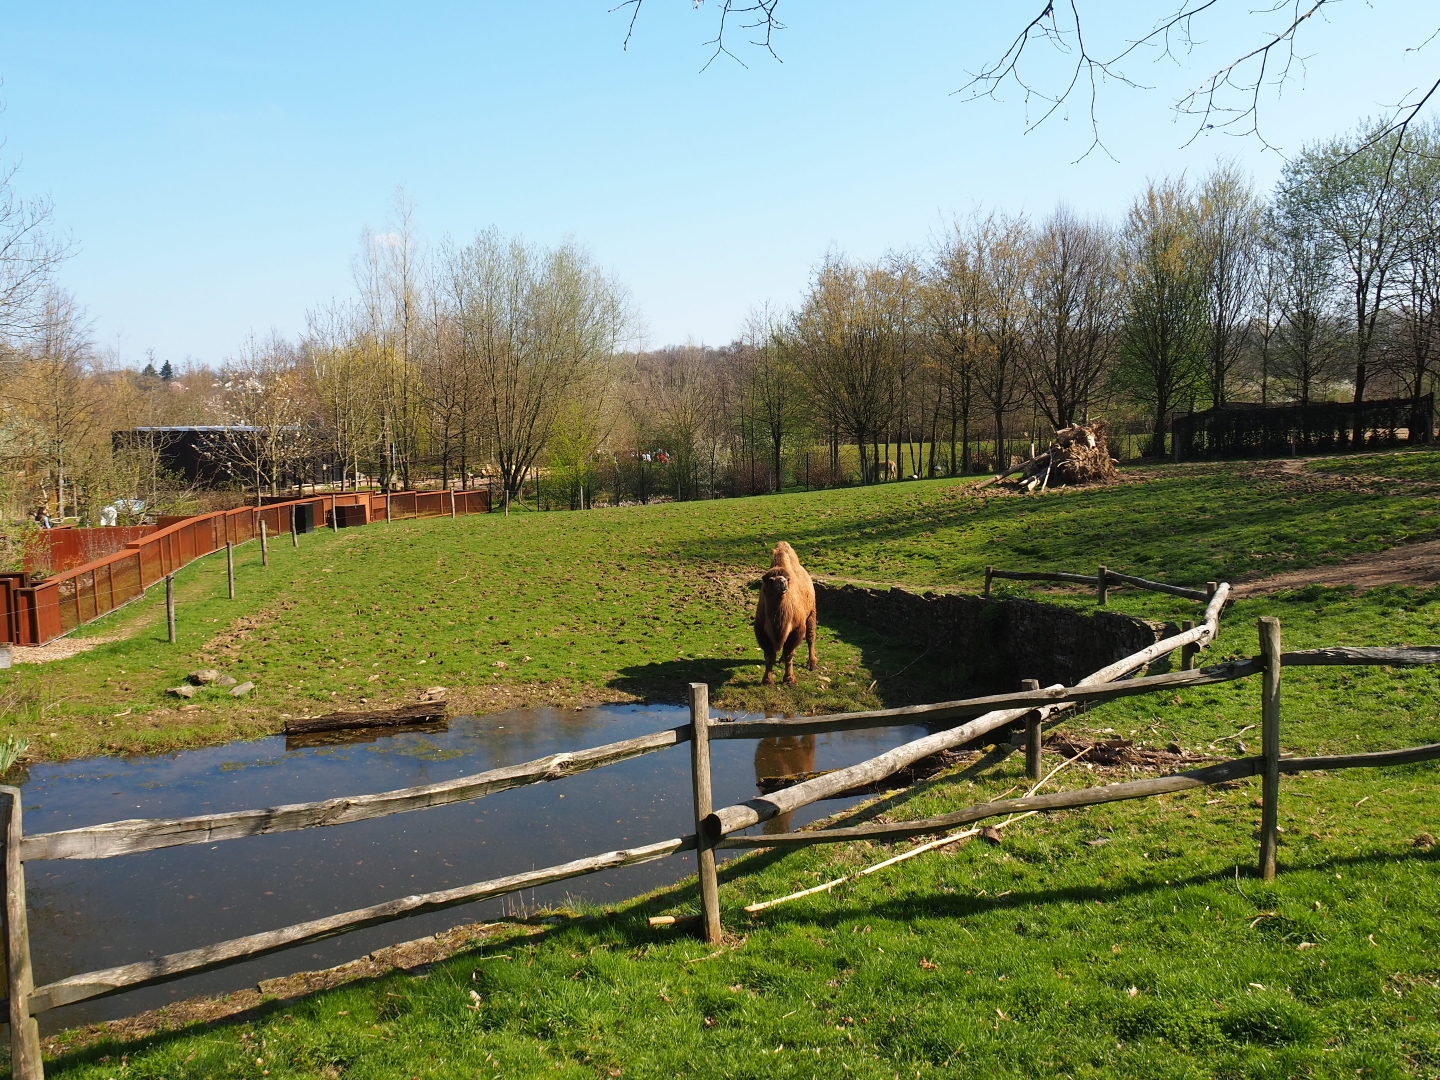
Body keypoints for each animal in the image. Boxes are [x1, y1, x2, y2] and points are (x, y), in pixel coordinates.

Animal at [753, 541, 817, 686]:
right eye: (771, 580)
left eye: (787, 578)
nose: (782, 583)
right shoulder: (761, 630)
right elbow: (769, 656)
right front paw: (767, 680)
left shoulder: (797, 629)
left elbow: (789, 655)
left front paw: (789, 679)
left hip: (811, 613)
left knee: (810, 637)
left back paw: (812, 663)